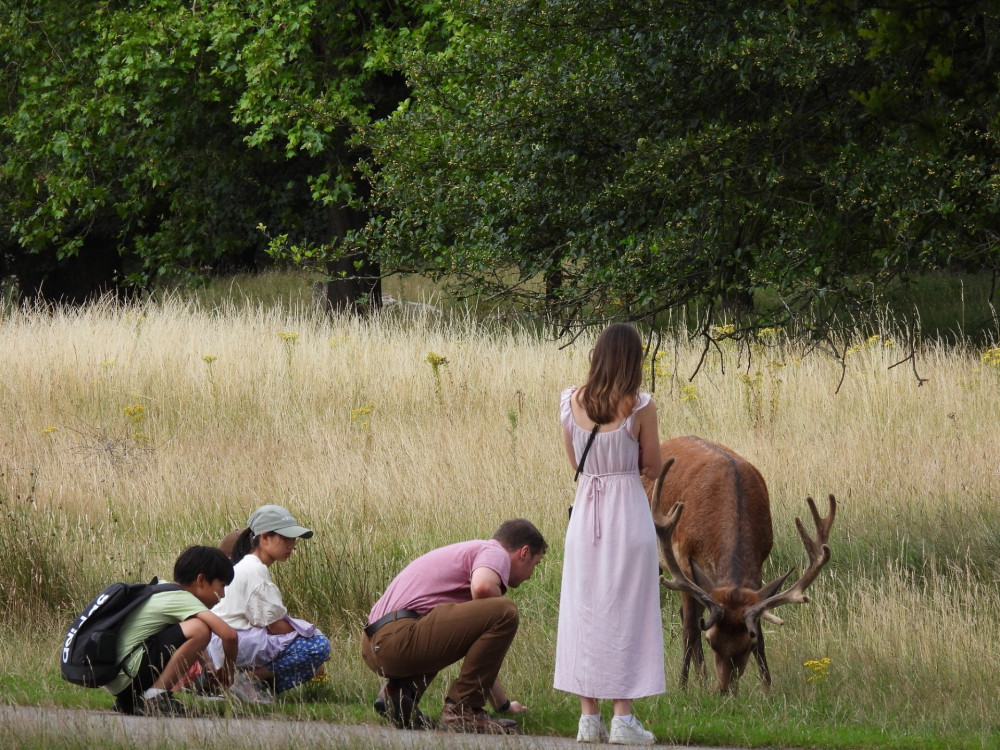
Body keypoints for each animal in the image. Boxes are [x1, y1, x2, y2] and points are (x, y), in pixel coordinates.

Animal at [644, 438, 832, 696]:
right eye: (711, 640)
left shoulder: (759, 564)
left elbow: (761, 632)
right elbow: (690, 630)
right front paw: (682, 688)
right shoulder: (683, 558)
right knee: (685, 618)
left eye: (748, 643)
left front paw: (768, 690)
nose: (724, 691)